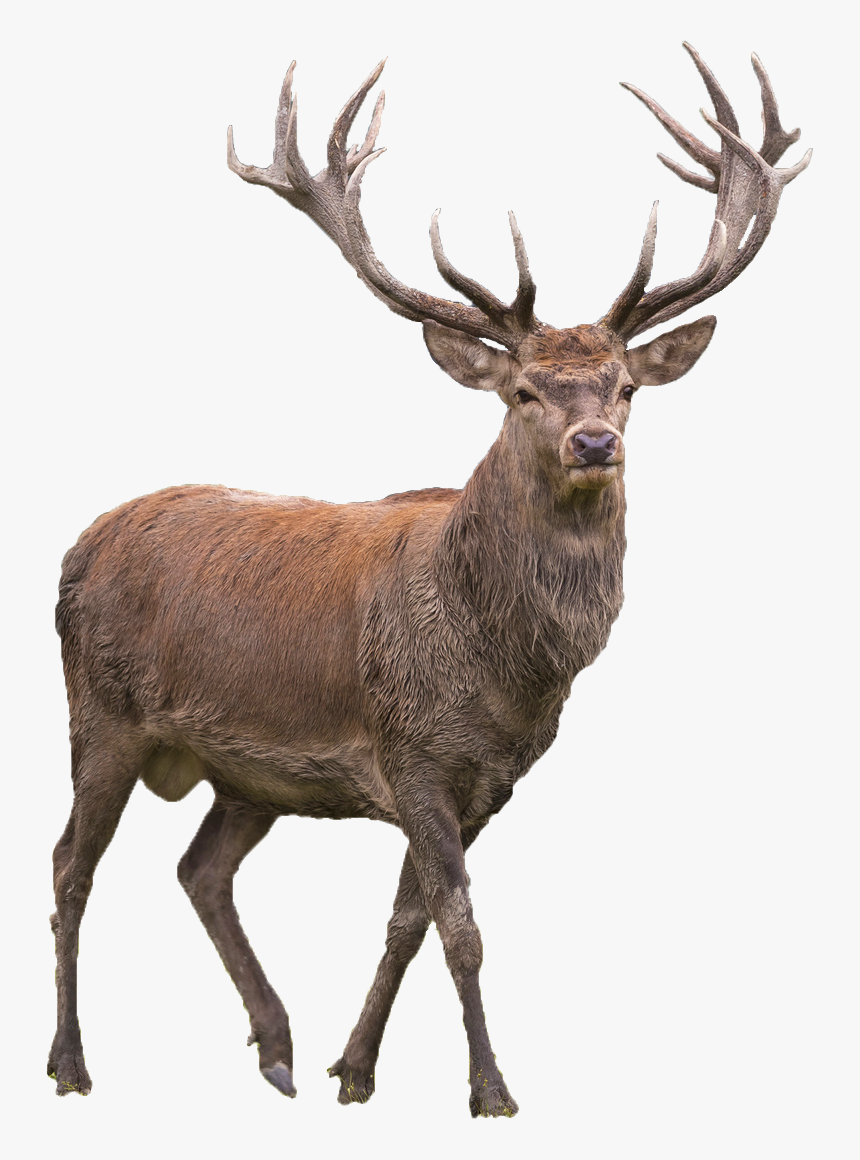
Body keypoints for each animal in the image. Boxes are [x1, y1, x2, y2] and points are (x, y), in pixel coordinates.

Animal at [48, 44, 809, 1116]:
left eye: (625, 386)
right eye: (523, 390)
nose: (595, 442)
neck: (504, 671)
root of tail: (77, 546)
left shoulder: (488, 778)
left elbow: (409, 921)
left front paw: (356, 1069)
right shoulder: (409, 750)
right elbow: (462, 929)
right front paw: (490, 1088)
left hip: (246, 773)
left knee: (199, 868)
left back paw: (277, 1047)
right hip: (101, 714)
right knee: (70, 866)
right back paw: (72, 1062)